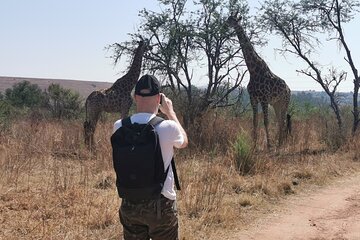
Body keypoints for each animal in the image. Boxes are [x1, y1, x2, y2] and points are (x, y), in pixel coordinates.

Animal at [228, 14, 292, 149]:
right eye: (229, 18)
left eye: (234, 20)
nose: (227, 22)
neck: (253, 71)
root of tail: (289, 90)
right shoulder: (253, 98)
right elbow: (255, 121)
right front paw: (254, 145)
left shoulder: (264, 98)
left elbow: (266, 121)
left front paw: (269, 145)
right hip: (276, 104)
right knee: (280, 121)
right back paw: (279, 143)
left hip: (285, 102)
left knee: (283, 121)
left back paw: (280, 144)